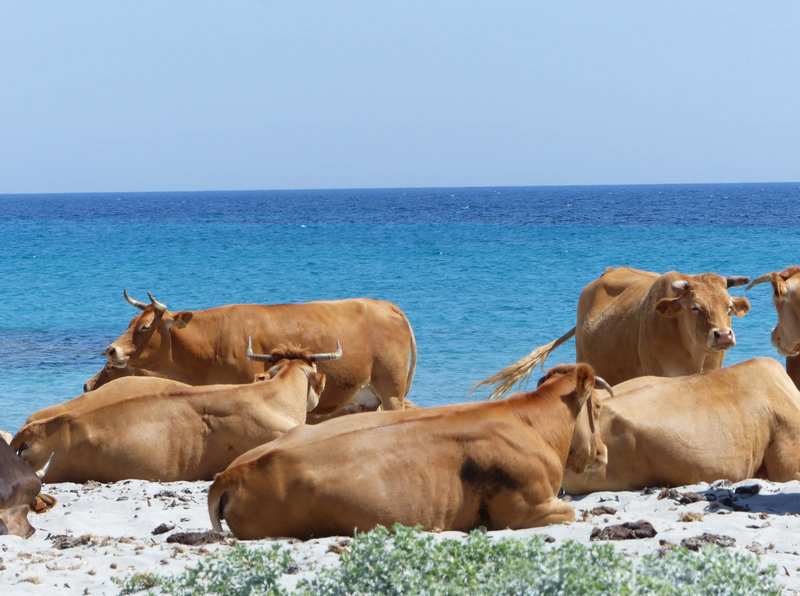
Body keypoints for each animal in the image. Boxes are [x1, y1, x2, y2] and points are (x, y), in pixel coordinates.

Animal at [208, 364, 612, 540]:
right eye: (597, 406)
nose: (604, 451)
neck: (532, 422)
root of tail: (230, 474)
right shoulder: (525, 506)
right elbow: (571, 511)